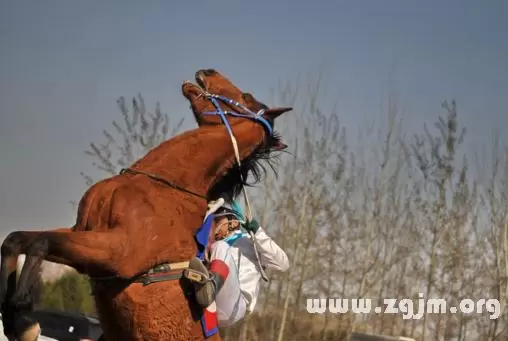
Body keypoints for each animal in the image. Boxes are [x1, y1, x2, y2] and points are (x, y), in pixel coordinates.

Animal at [0, 67, 292, 338]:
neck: (160, 185)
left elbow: (41, 243)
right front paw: (10, 313)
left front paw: (22, 316)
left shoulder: (118, 252)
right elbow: (15, 240)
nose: (208, 71)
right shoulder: (81, 230)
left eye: (246, 96)